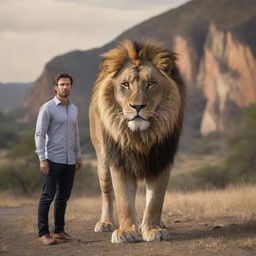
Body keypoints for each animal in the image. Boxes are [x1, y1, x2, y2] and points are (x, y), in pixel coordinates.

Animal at [89, 39, 185, 242]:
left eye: (151, 84)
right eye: (125, 84)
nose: (138, 106)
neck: (140, 136)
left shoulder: (161, 160)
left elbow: (155, 200)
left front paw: (153, 229)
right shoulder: (119, 162)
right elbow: (124, 200)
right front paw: (126, 231)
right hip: (102, 160)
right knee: (107, 193)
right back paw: (105, 223)